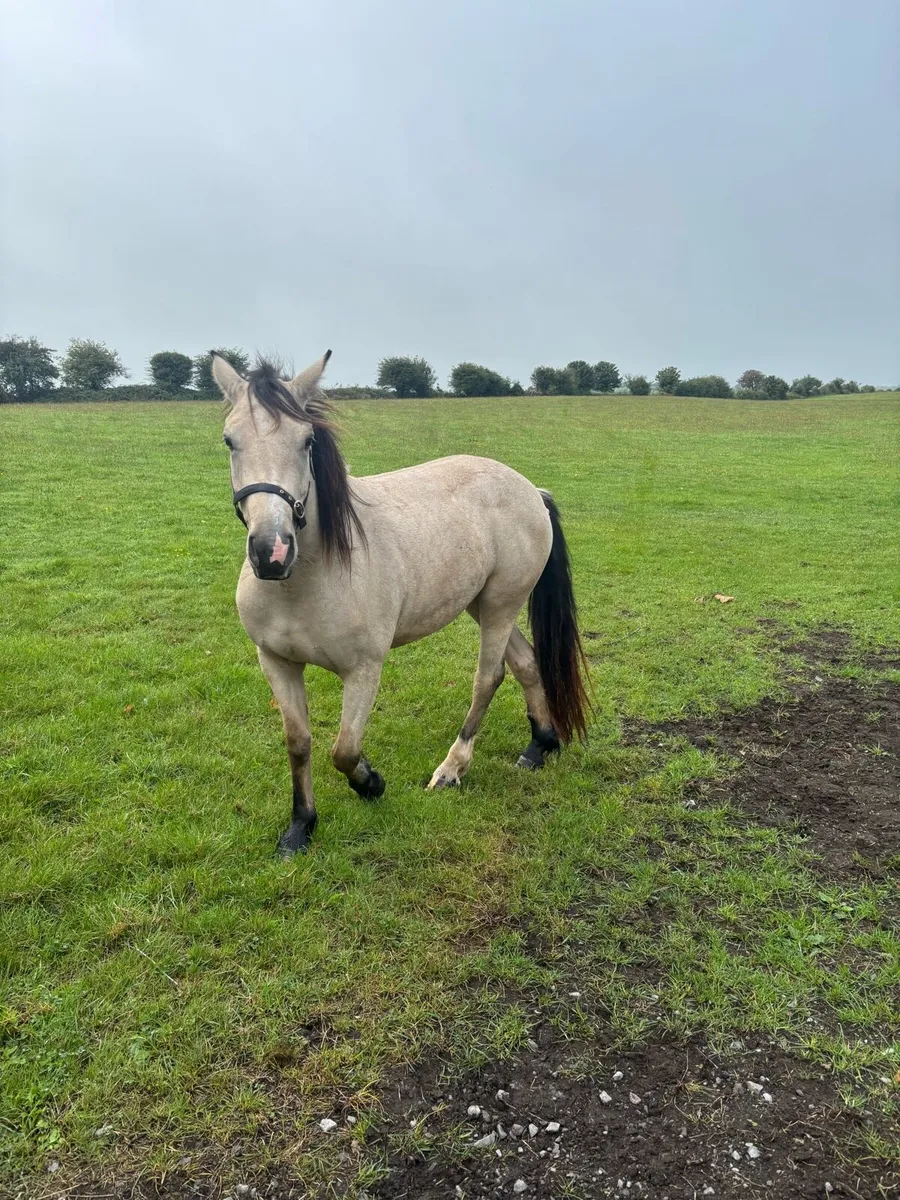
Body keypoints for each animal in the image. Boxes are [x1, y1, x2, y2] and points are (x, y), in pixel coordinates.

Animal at [212, 351, 589, 855]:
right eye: (230, 440)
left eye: (306, 440)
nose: (271, 551)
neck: (307, 581)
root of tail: (531, 490)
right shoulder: (276, 663)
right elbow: (299, 742)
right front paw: (300, 827)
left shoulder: (364, 670)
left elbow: (344, 750)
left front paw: (371, 783)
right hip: (485, 605)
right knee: (527, 664)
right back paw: (540, 745)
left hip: (500, 607)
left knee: (488, 678)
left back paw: (452, 769)